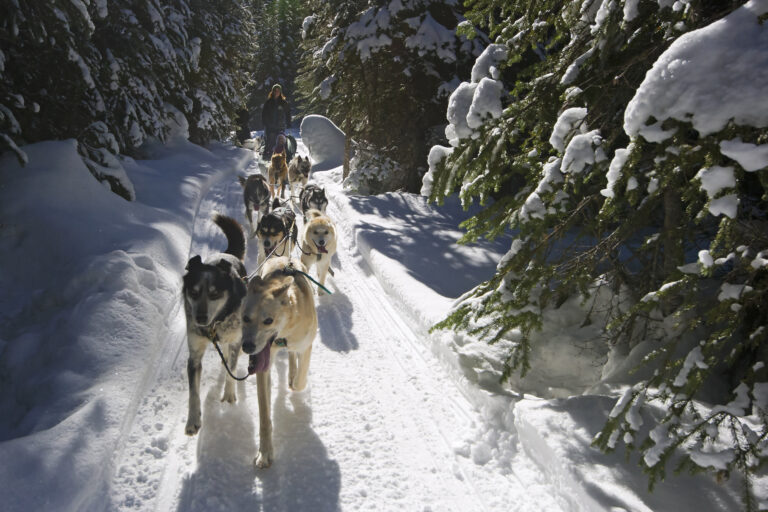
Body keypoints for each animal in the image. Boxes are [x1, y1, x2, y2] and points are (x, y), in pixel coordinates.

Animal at [182, 214, 246, 434]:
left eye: (214, 293)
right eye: (193, 292)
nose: (200, 318)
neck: (214, 325)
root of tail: (226, 254)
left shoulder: (235, 340)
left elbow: (231, 371)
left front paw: (229, 394)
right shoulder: (194, 355)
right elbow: (193, 392)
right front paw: (193, 419)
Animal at [244, 256, 320, 468]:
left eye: (268, 320)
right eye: (245, 318)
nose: (247, 347)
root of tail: (283, 257)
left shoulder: (306, 346)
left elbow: (300, 381)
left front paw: (294, 382)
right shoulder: (263, 366)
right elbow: (264, 415)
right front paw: (264, 452)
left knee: (294, 359)